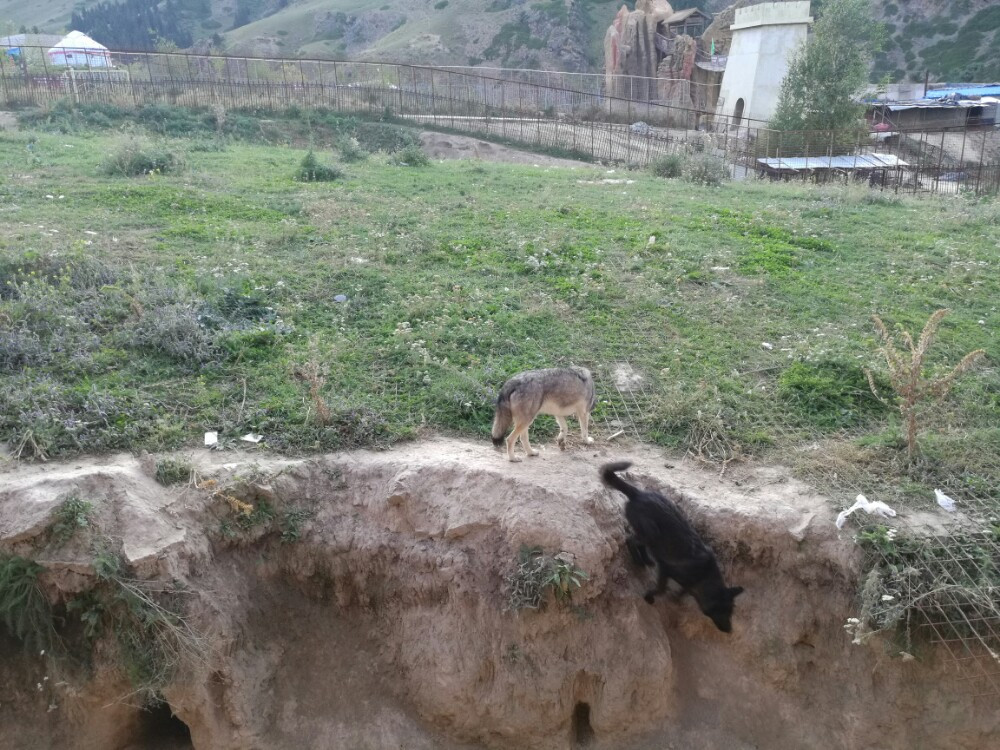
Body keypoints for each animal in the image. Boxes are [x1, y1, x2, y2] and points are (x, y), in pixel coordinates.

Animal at [600, 464, 744, 636]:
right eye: (722, 611)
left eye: (731, 611)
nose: (729, 630)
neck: (704, 575)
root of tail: (639, 494)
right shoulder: (666, 569)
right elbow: (661, 589)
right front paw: (650, 597)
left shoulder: (687, 582)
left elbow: (683, 591)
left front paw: (677, 597)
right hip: (651, 533)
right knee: (631, 540)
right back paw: (638, 560)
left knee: (640, 544)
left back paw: (646, 560)